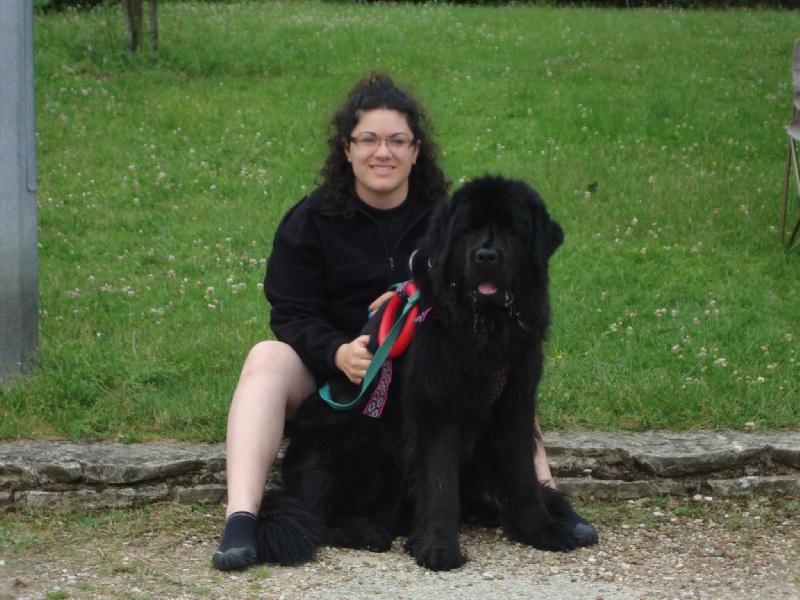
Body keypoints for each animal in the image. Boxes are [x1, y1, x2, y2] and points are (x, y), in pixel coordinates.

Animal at [260, 175, 584, 572]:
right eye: (469, 230)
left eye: (511, 231)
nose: (486, 256)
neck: (485, 329)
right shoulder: (436, 410)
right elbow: (439, 482)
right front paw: (438, 547)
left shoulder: (515, 406)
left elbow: (523, 476)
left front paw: (542, 529)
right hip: (363, 447)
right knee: (324, 517)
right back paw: (368, 532)